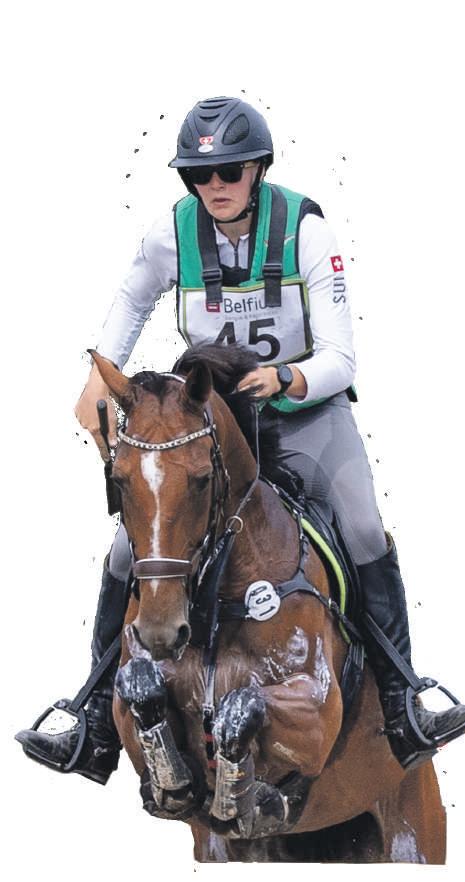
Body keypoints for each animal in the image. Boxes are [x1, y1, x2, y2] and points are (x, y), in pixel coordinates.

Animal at [90, 344, 446, 864]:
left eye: (202, 480)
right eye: (118, 480)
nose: (160, 631)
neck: (215, 605)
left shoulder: (318, 711)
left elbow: (242, 704)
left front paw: (248, 797)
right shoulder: (128, 703)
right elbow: (138, 688)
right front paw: (180, 785)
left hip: (412, 832)